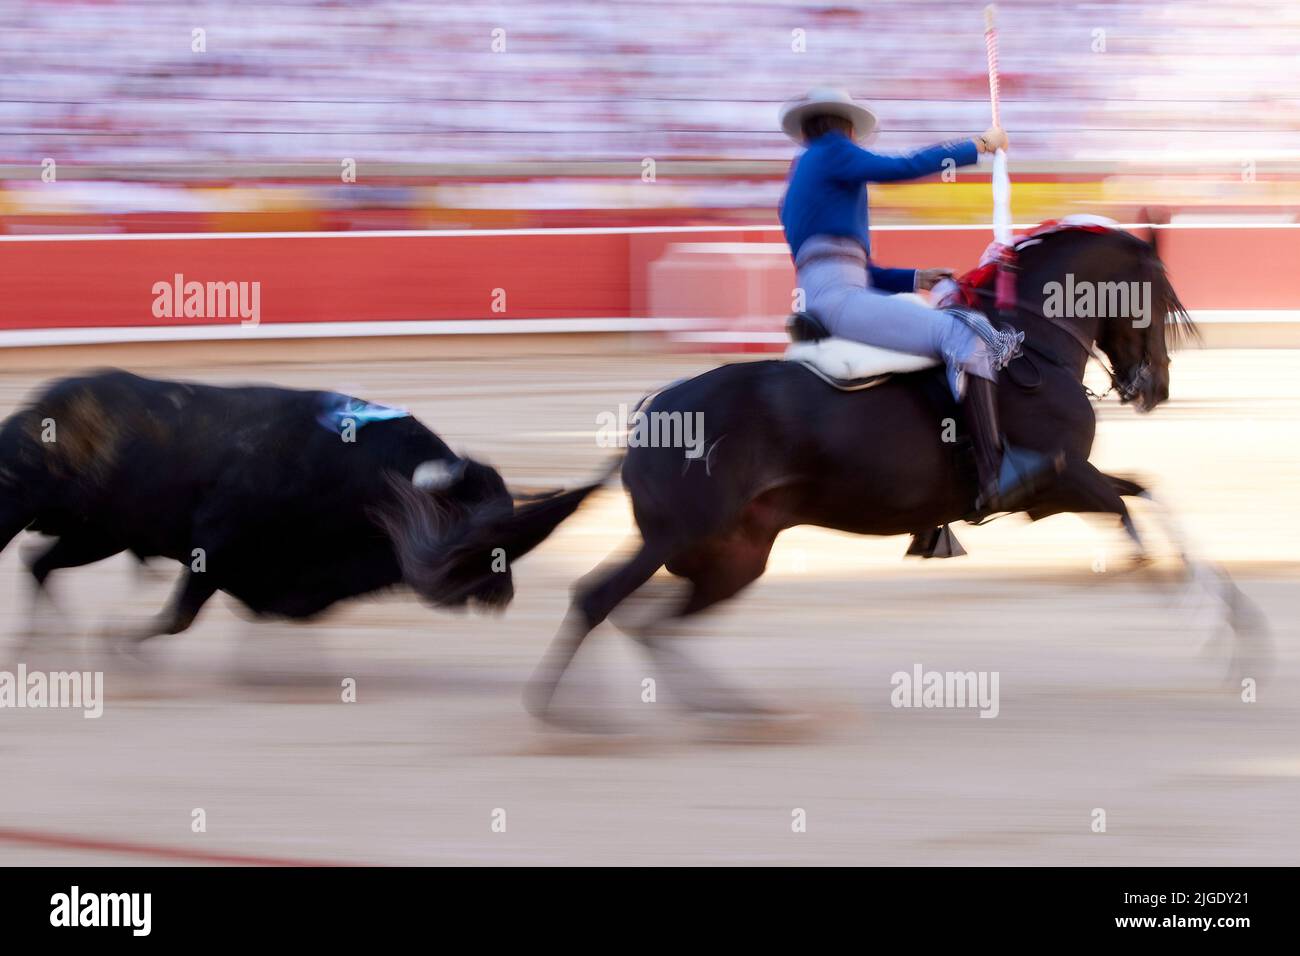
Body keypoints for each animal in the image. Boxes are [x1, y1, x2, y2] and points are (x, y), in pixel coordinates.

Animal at [0, 369, 598, 639]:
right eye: (474, 526)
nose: (503, 595)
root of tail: (38, 408)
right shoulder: (216, 545)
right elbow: (178, 617)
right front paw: (120, 642)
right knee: (34, 560)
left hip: (95, 535)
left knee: (39, 564)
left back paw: (43, 643)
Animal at [520, 222, 1258, 717]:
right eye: (1154, 295)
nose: (1155, 387)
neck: (1032, 345)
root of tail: (650, 413)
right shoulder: (1056, 479)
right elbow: (1134, 518)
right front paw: (1203, 624)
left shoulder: (1059, 486)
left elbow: (1150, 497)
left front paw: (1239, 629)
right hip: (679, 535)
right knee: (600, 599)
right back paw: (568, 717)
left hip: (735, 553)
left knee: (649, 620)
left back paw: (734, 712)